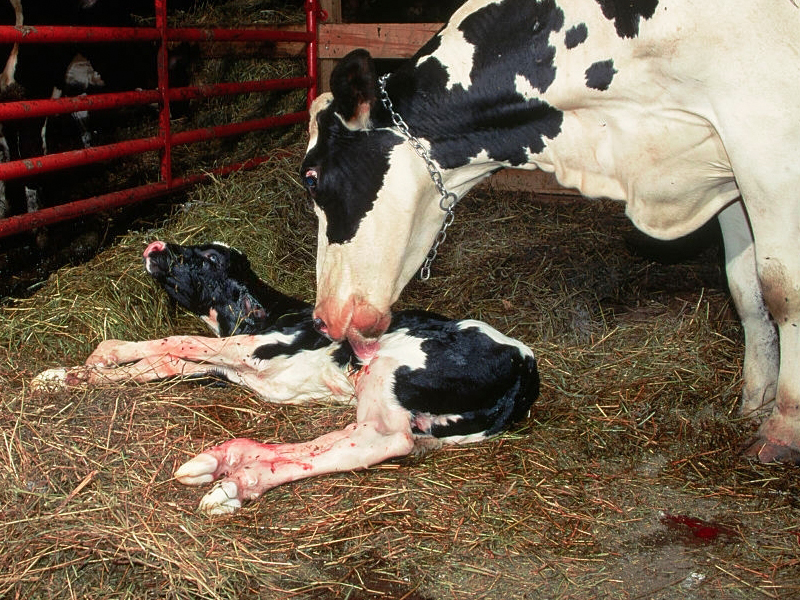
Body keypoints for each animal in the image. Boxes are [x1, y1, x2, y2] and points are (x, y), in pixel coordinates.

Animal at [36, 241, 536, 512]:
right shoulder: (226, 366)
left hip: (387, 368)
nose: (157, 247)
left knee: (382, 441)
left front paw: (103, 353)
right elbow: (163, 362)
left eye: (209, 259)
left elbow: (174, 340)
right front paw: (66, 376)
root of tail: (526, 371)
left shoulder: (256, 348)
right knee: (347, 442)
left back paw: (233, 480)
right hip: (405, 411)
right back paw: (229, 466)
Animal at [298, 0, 800, 464]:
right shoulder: (728, 173)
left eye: (311, 178)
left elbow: (782, 290)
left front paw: (779, 431)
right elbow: (747, 291)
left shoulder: (767, 143)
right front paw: (754, 403)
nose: (322, 318)